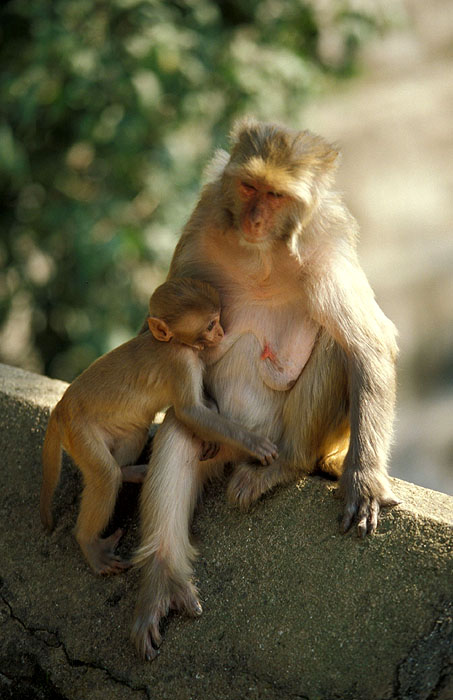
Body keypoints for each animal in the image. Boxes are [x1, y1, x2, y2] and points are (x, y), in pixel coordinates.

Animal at [40, 277, 278, 575]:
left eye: (218, 319)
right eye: (211, 324)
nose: (222, 332)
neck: (175, 343)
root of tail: (61, 407)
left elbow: (199, 407)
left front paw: (213, 428)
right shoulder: (181, 362)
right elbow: (188, 411)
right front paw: (253, 443)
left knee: (133, 437)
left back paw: (128, 471)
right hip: (79, 431)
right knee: (105, 476)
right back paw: (88, 543)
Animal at [131, 118, 399, 660]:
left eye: (276, 196)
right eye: (249, 187)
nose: (255, 218)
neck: (261, 253)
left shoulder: (327, 247)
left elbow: (369, 346)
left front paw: (363, 482)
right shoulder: (202, 221)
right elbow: (169, 339)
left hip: (281, 437)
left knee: (336, 343)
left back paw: (287, 465)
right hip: (231, 438)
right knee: (183, 429)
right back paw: (163, 575)